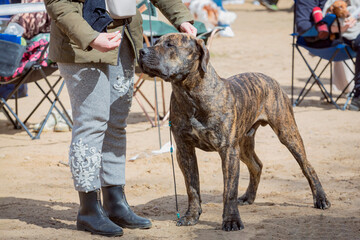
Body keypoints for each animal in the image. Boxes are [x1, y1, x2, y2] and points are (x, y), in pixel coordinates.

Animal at [139, 33, 332, 231]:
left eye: (170, 45)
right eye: (156, 42)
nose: (141, 51)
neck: (190, 93)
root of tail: (270, 79)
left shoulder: (228, 150)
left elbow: (229, 190)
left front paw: (231, 220)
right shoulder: (185, 149)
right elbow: (192, 186)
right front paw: (191, 215)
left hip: (287, 132)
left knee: (307, 166)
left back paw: (321, 199)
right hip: (244, 143)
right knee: (257, 165)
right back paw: (248, 197)